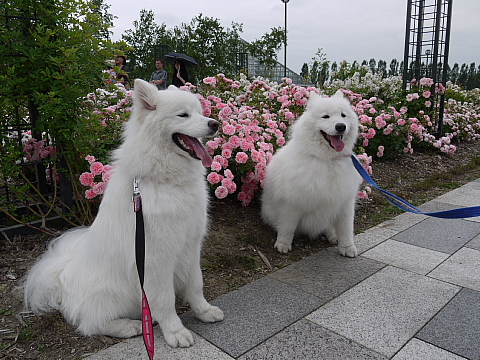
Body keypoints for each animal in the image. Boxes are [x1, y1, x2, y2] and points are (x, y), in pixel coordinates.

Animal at [262, 91, 360, 258]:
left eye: (343, 115)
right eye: (325, 116)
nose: (341, 126)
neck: (327, 160)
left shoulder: (345, 203)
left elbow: (346, 230)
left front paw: (347, 248)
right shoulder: (291, 203)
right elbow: (287, 227)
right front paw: (282, 245)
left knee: (329, 228)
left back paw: (333, 236)